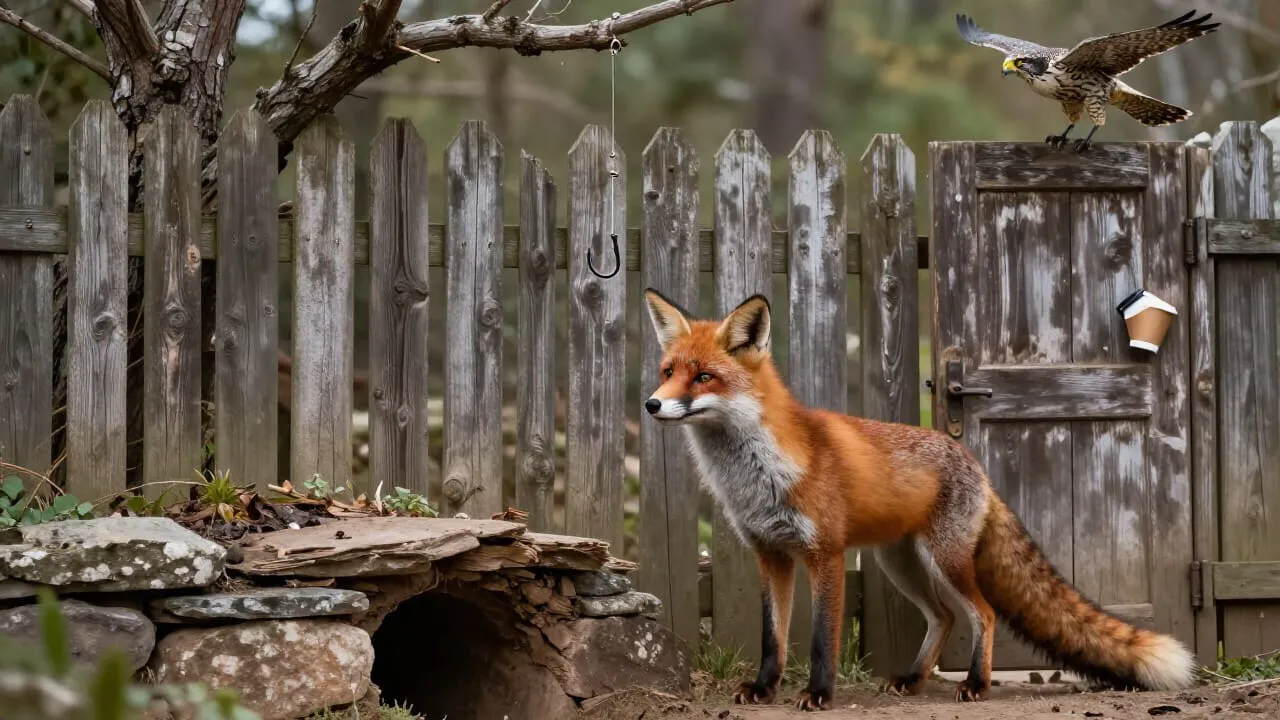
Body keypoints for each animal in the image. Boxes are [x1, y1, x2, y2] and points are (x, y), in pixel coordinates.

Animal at [640, 287, 1197, 711]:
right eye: (667, 371)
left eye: (704, 376)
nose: (651, 404)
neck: (757, 474)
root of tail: (976, 464)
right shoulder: (771, 554)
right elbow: (771, 635)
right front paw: (764, 687)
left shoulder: (826, 554)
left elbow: (822, 638)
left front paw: (819, 694)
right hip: (900, 564)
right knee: (944, 617)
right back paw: (913, 679)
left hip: (943, 560)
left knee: (981, 614)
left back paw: (976, 684)